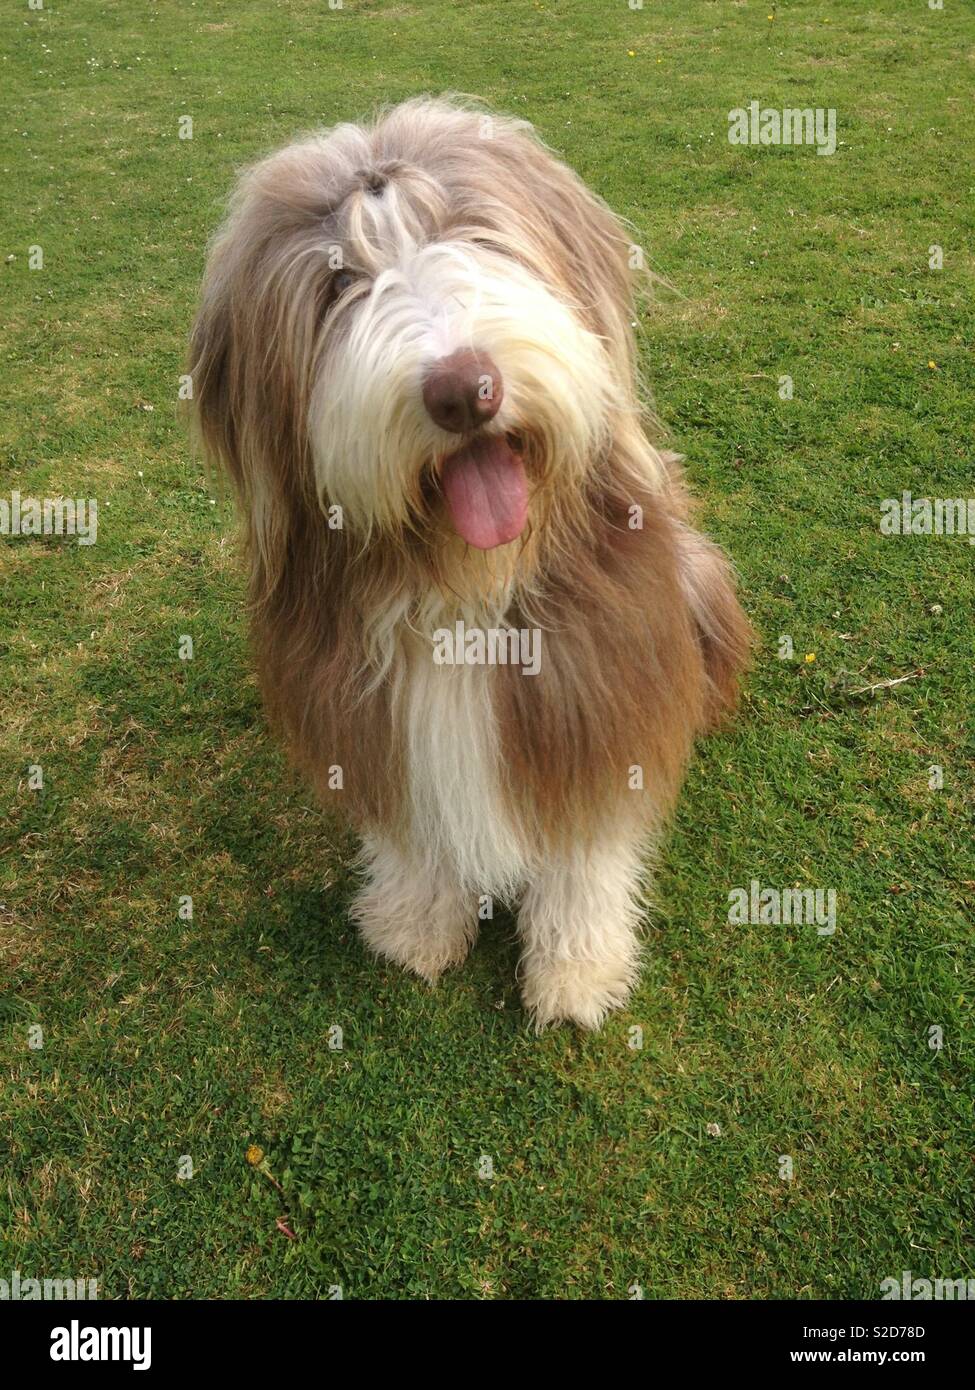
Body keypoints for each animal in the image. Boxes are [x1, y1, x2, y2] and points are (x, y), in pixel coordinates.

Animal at [191, 97, 751, 1028]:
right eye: (338, 283)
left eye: (476, 236)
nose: (462, 389)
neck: (463, 591)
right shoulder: (364, 712)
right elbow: (412, 835)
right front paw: (416, 926)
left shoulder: (597, 689)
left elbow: (584, 847)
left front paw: (576, 968)